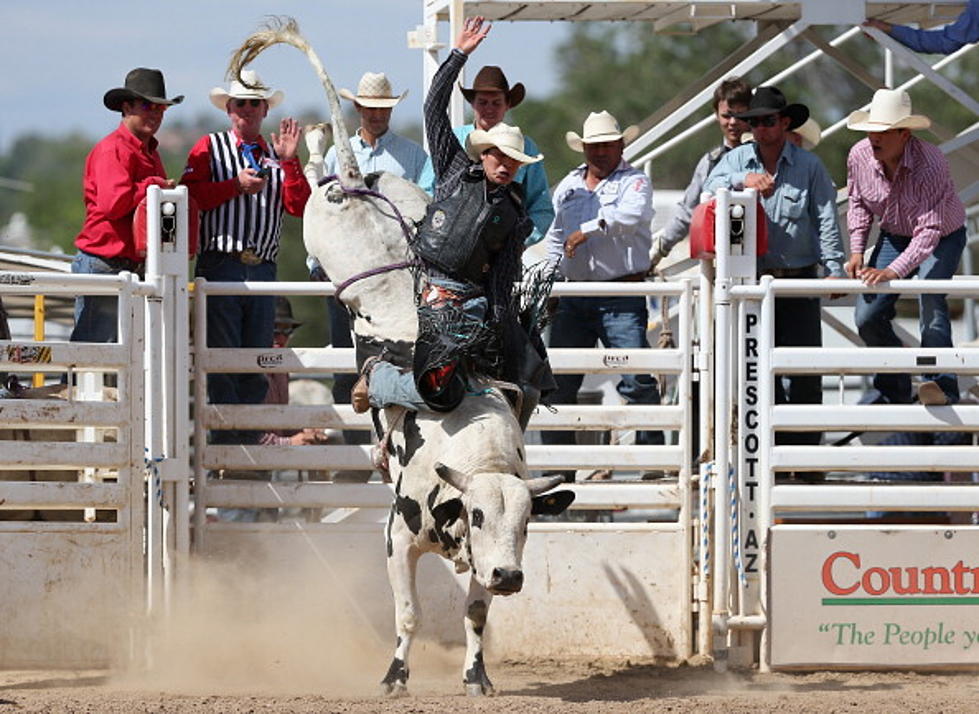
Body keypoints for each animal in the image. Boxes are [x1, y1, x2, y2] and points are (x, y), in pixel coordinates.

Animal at [230, 18, 576, 696]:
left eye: (527, 522)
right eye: (476, 512)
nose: (511, 577)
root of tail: (359, 182)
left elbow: (473, 613)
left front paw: (477, 676)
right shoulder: (396, 537)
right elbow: (410, 611)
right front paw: (394, 675)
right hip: (322, 226)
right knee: (316, 183)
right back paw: (309, 143)